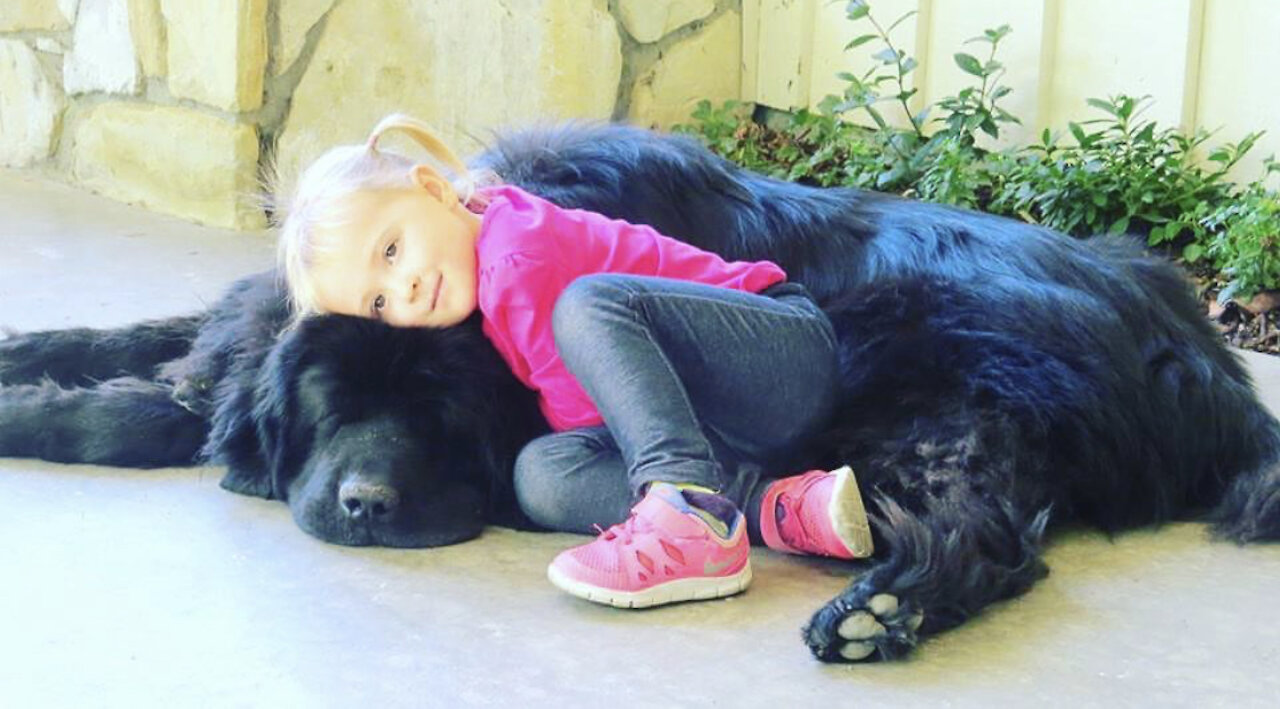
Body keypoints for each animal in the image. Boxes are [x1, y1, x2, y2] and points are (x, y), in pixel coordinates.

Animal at [2, 122, 1280, 660]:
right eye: (330, 407)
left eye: (438, 418)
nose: (366, 503)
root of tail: (1196, 340)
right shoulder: (233, 329)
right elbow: (152, 337)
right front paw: (29, 349)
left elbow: (133, 409)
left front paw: (43, 414)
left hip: (919, 391)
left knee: (989, 535)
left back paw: (878, 612)